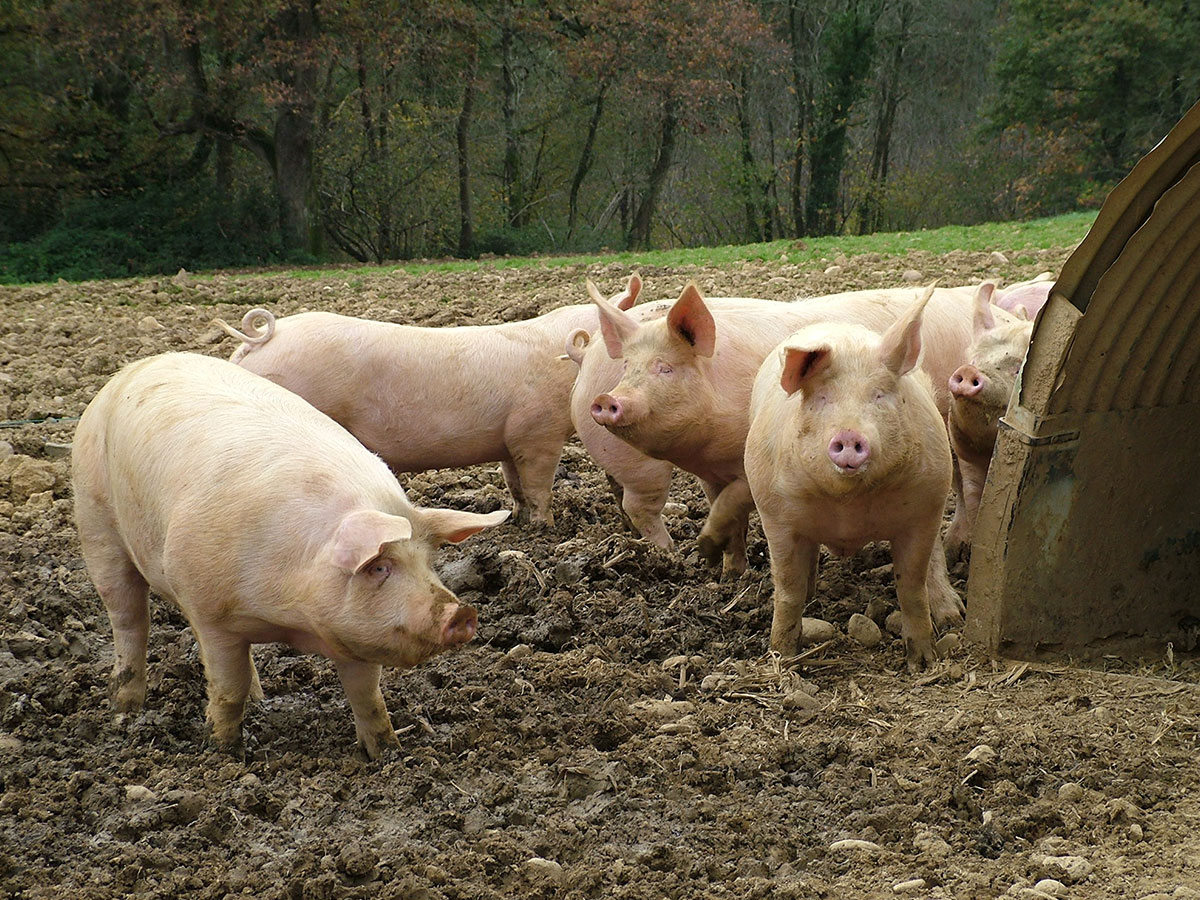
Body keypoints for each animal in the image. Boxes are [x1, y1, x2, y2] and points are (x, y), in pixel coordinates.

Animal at [72, 352, 508, 763]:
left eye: (428, 563)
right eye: (379, 567)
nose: (461, 613)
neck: (289, 610)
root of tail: (139, 365)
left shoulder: (353, 633)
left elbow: (367, 696)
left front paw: (389, 754)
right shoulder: (210, 613)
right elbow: (227, 689)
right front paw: (225, 752)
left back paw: (260, 698)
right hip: (95, 523)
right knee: (129, 619)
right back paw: (124, 710)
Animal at [214, 289, 643, 528]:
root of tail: (255, 342)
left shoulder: (509, 440)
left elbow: (515, 484)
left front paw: (520, 523)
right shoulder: (538, 432)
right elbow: (539, 486)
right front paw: (547, 529)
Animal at [585, 282, 988, 578]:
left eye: (665, 367)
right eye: (627, 367)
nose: (606, 400)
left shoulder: (752, 465)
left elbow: (734, 503)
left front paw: (705, 553)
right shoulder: (710, 475)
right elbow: (728, 515)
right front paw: (728, 574)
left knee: (965, 488)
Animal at [744, 285, 960, 672]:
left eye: (880, 395)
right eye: (822, 398)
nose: (848, 435)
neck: (848, 504)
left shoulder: (924, 506)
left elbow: (911, 586)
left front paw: (922, 663)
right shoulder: (774, 514)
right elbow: (787, 589)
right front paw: (782, 656)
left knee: (935, 558)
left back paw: (952, 616)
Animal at [940, 283, 1036, 564]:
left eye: (1018, 370)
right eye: (974, 362)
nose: (969, 372)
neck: (988, 455)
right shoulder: (968, 460)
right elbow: (974, 502)